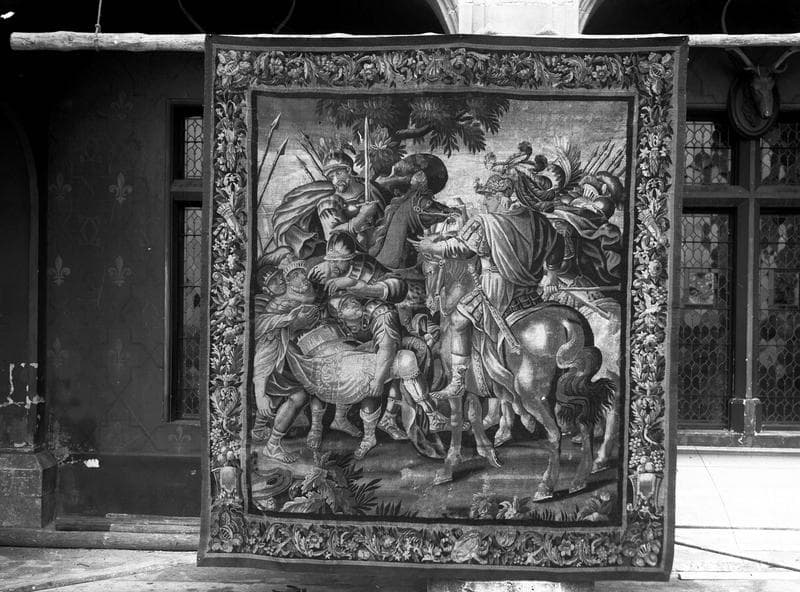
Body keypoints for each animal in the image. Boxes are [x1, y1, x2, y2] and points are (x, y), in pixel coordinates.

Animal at [421, 254, 615, 500]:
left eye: (429, 272)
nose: (429, 303)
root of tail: (566, 322)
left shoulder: (457, 385)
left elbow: (457, 419)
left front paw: (448, 467)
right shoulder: (474, 386)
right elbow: (474, 415)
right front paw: (488, 452)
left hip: (532, 395)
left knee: (554, 434)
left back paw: (545, 487)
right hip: (567, 388)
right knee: (584, 423)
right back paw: (580, 479)